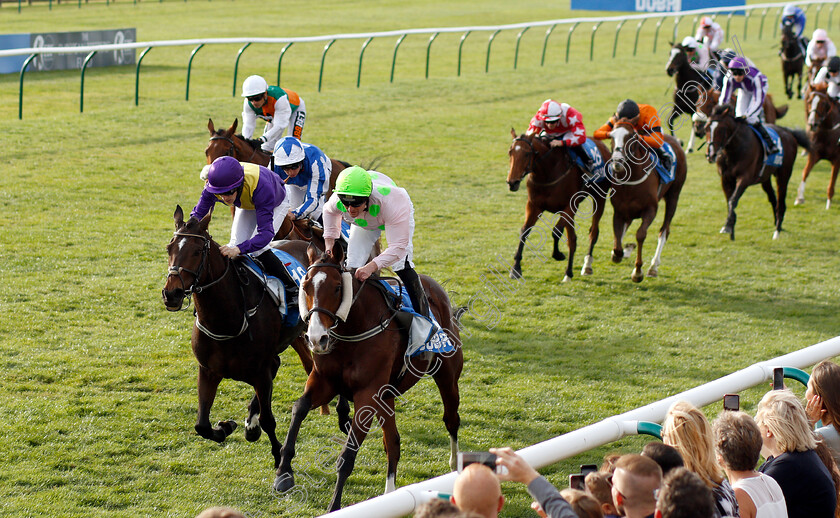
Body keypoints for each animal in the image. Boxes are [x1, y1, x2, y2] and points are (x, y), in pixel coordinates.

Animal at [162, 207, 322, 472]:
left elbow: (269, 419)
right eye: (169, 248)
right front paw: (227, 427)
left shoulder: (260, 371)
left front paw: (279, 459)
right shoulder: (208, 370)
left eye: (197, 251)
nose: (171, 293)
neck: (227, 318)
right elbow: (201, 425)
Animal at [274, 246, 462, 512]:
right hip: (387, 397)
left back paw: (456, 466)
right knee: (393, 443)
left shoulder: (367, 395)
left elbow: (347, 455)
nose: (316, 338)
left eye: (337, 288)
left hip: (447, 374)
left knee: (451, 419)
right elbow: (299, 408)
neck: (352, 331)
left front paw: (334, 506)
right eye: (306, 285)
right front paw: (283, 473)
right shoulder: (324, 381)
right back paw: (390, 493)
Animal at [506, 132, 612, 282]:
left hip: (600, 197)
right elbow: (524, 231)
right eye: (510, 152)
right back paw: (569, 272)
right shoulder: (533, 206)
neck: (548, 172)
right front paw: (516, 268)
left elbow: (556, 231)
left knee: (593, 232)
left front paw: (558, 255)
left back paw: (585, 266)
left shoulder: (568, 207)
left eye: (527, 153)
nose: (512, 182)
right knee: (573, 239)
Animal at [608, 122, 684, 282]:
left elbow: (640, 234)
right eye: (611, 136)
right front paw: (619, 253)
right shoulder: (619, 211)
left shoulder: (650, 209)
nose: (617, 161)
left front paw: (637, 272)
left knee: (664, 230)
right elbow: (617, 240)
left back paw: (653, 267)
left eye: (632, 136)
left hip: (674, 196)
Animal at [704, 104, 812, 242]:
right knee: (773, 198)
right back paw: (778, 225)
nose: (711, 155)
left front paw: (731, 229)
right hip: (765, 178)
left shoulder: (744, 178)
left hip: (784, 174)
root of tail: (788, 132)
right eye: (706, 128)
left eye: (722, 129)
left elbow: (733, 200)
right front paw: (728, 226)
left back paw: (777, 231)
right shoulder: (726, 179)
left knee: (781, 202)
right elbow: (729, 200)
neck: (733, 150)